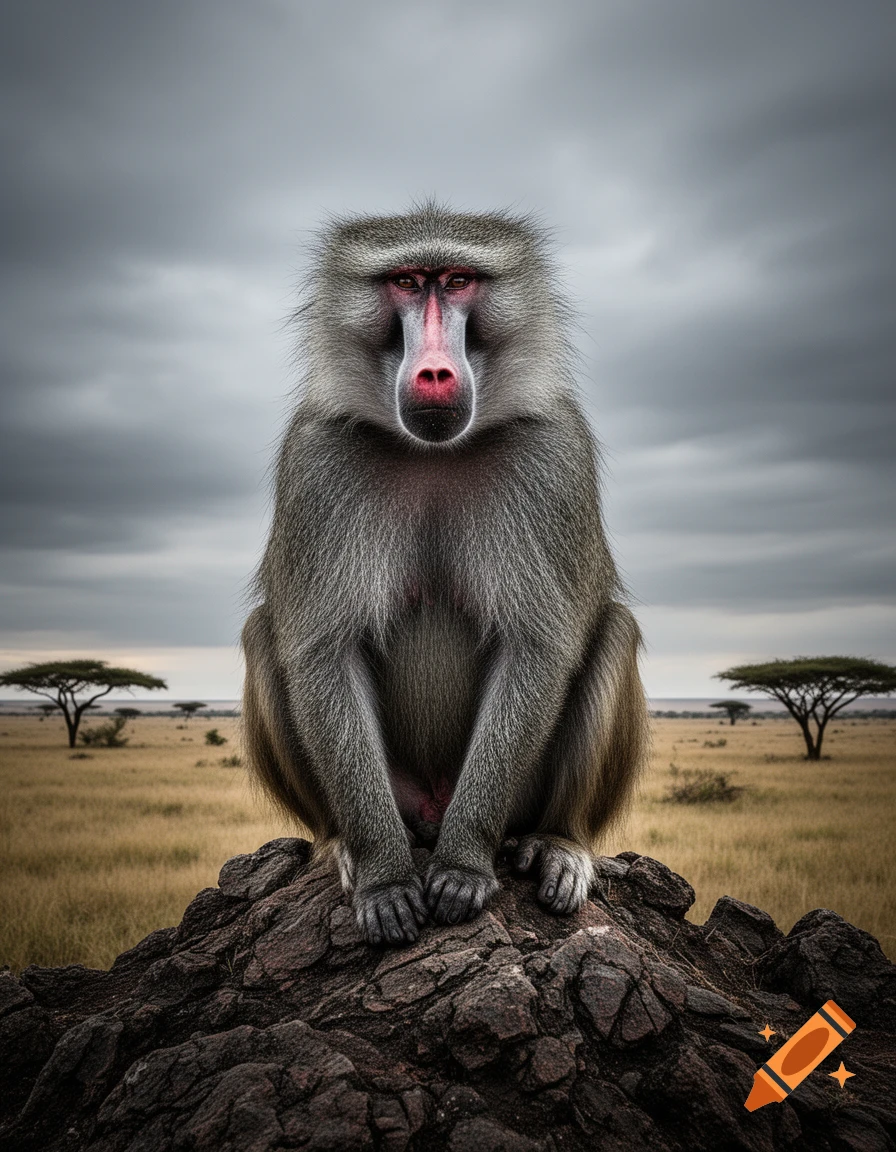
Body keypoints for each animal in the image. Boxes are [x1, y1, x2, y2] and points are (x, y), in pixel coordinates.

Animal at [242, 203, 648, 947]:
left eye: (459, 280)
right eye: (405, 282)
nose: (434, 373)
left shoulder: (553, 454)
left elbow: (536, 648)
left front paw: (462, 867)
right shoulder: (316, 459)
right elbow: (321, 654)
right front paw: (384, 878)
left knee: (614, 633)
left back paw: (558, 840)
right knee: (263, 637)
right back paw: (341, 843)